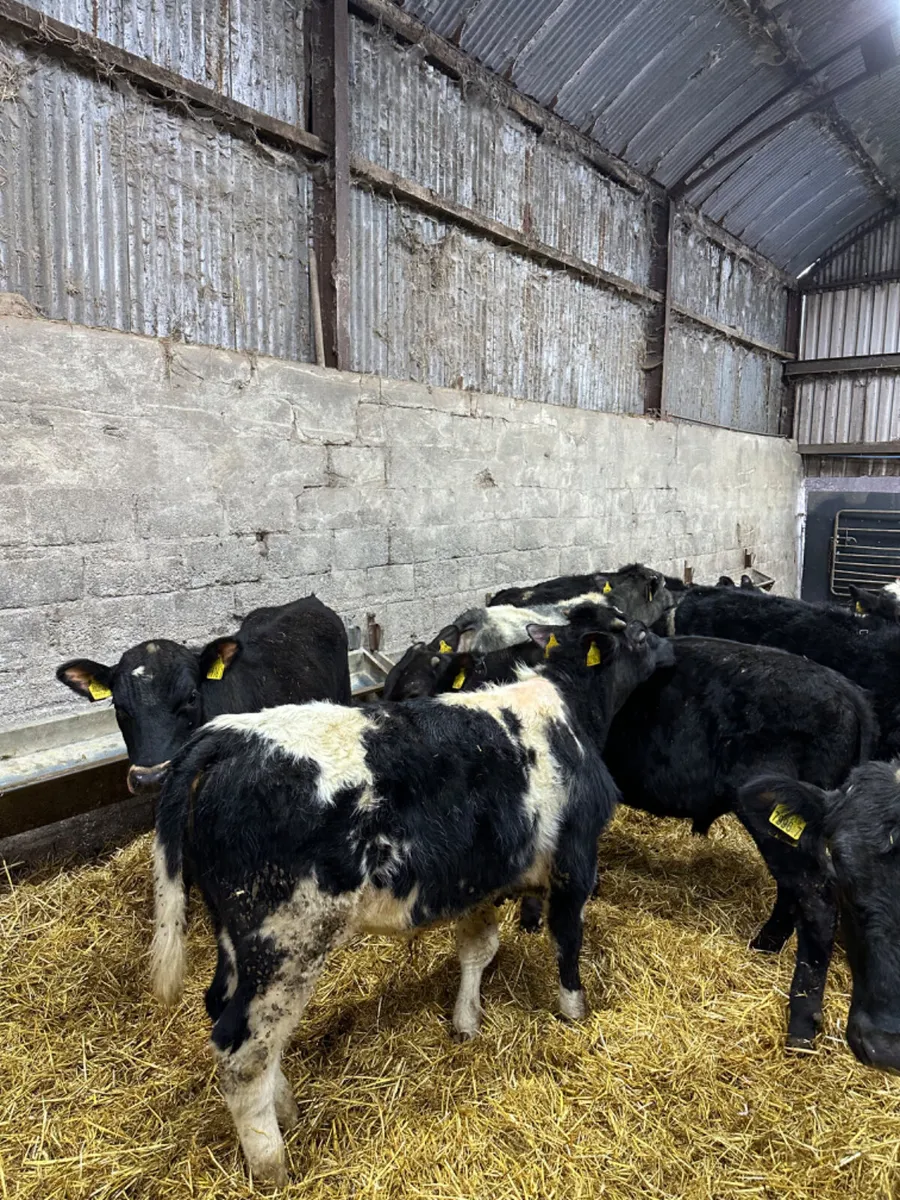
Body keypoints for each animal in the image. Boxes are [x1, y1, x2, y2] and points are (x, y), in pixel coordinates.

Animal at [148, 610, 674, 1184]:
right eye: (638, 633)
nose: (668, 645)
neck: (567, 706)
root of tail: (226, 736)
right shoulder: (576, 861)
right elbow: (567, 942)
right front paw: (574, 1011)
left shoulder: (477, 878)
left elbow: (477, 949)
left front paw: (467, 1021)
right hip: (285, 944)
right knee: (242, 1053)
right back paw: (273, 1166)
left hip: (235, 935)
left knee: (223, 1009)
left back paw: (286, 1108)